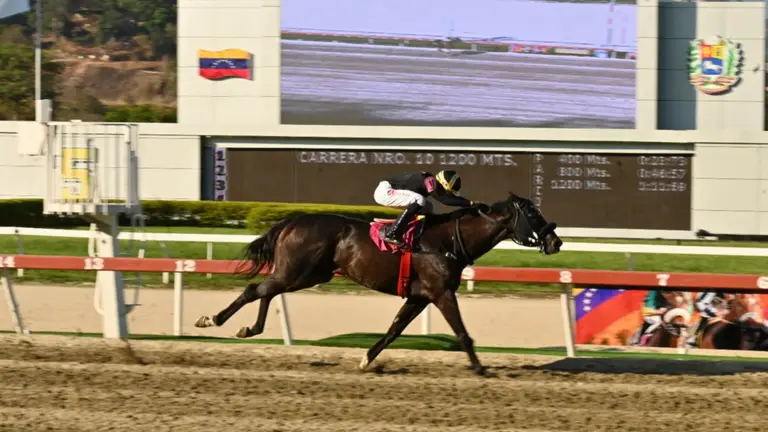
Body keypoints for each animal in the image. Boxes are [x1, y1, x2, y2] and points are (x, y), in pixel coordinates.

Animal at [194, 192, 562, 376]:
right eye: (534, 214)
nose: (556, 241)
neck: (447, 240)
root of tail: (290, 222)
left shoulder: (420, 296)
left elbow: (393, 330)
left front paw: (366, 359)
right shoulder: (441, 292)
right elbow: (461, 332)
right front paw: (480, 368)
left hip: (307, 274)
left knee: (266, 290)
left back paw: (248, 328)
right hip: (299, 272)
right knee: (256, 290)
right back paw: (213, 319)